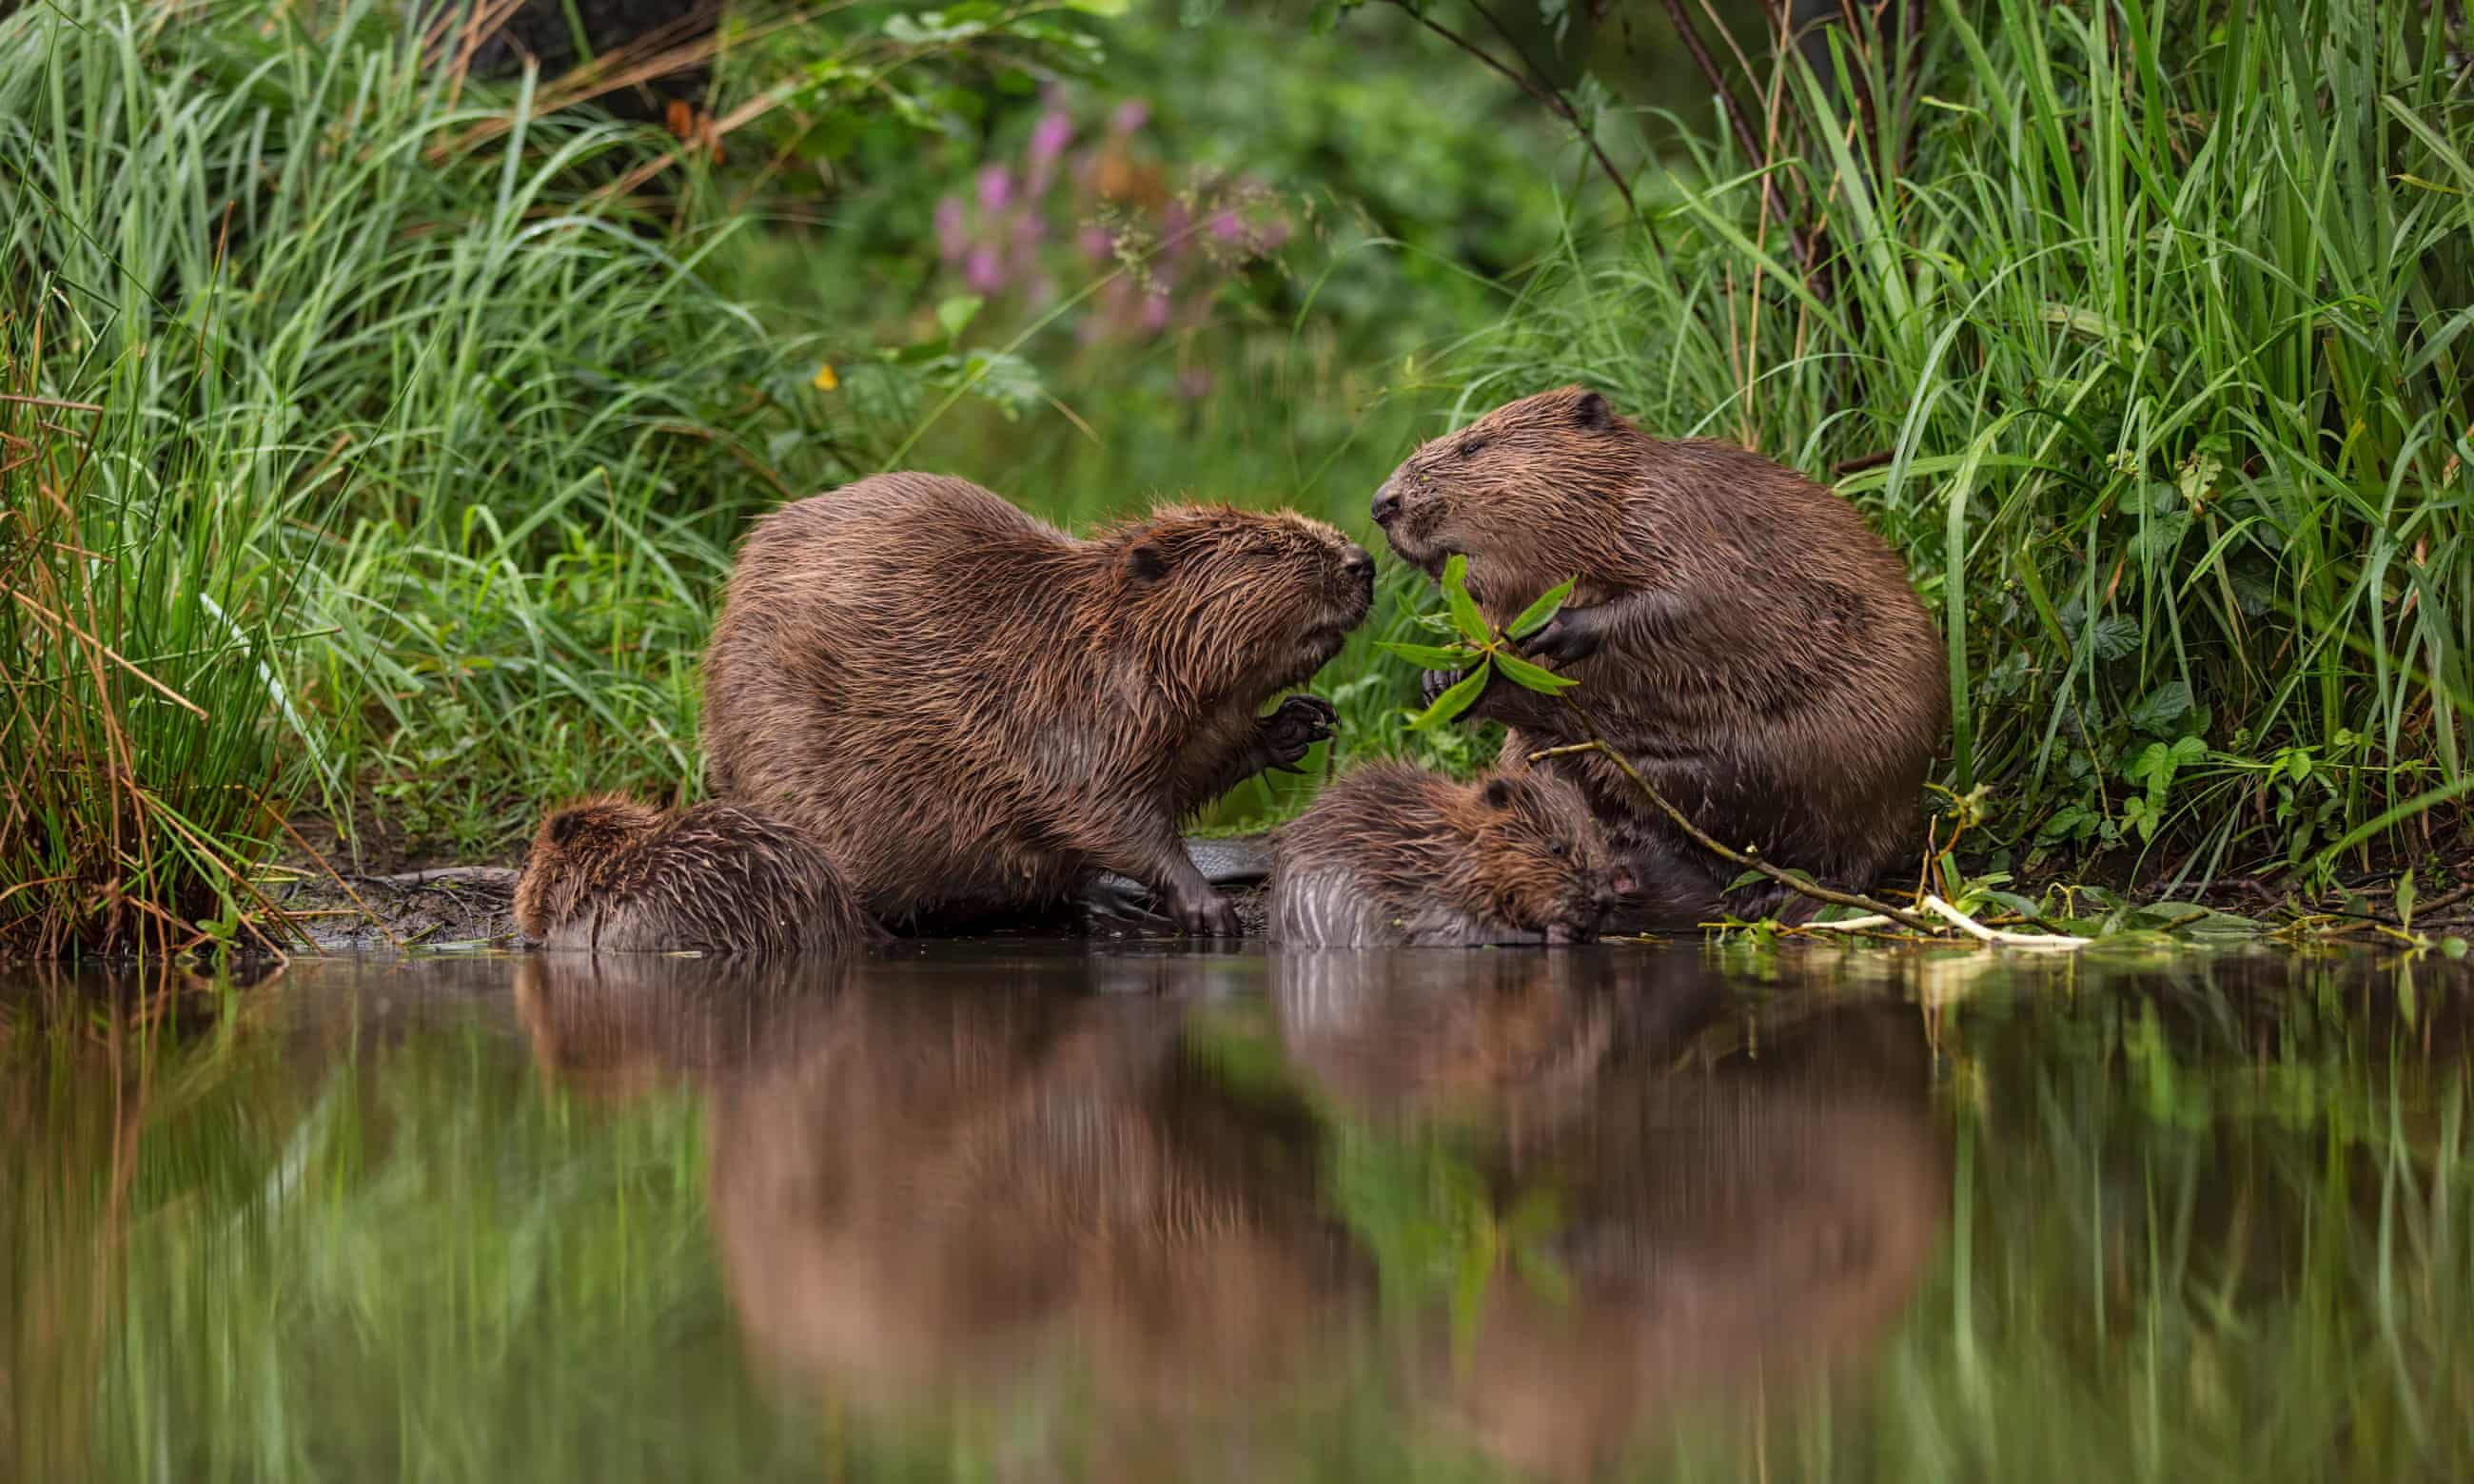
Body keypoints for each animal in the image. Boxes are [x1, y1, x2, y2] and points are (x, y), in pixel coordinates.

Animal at [707, 475, 1385, 934]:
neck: (1090, 636)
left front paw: (1301, 721)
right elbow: (1106, 811)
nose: (1364, 561)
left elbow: (1199, 766)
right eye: (1266, 550)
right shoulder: (1062, 714)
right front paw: (1208, 908)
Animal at [1266, 761, 1632, 945]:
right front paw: (1558, 932)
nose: (1604, 899)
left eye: (1601, 840)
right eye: (1556, 847)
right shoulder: (1428, 892)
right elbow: (1455, 929)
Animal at [1375, 388, 1949, 920]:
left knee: (1848, 858)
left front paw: (1557, 628)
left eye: (1472, 446)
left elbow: (1696, 597)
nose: (1383, 502)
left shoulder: (1679, 515)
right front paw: (1445, 679)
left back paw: (1780, 896)